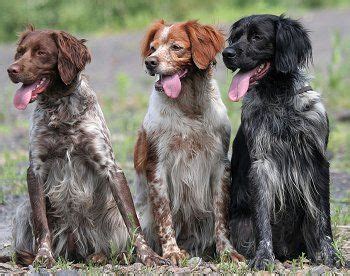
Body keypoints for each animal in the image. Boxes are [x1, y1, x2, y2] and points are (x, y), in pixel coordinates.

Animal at [133, 20, 245, 264]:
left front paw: (227, 251)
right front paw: (172, 252)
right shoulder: (157, 167)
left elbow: (221, 218)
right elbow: (165, 216)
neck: (189, 107)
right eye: (153, 48)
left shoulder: (219, 165)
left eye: (176, 47)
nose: (150, 62)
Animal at [221, 14, 340, 270]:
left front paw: (332, 256)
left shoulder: (317, 162)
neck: (279, 98)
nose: (226, 53)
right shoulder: (261, 165)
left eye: (257, 37)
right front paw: (264, 257)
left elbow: (323, 219)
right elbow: (262, 220)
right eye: (235, 37)